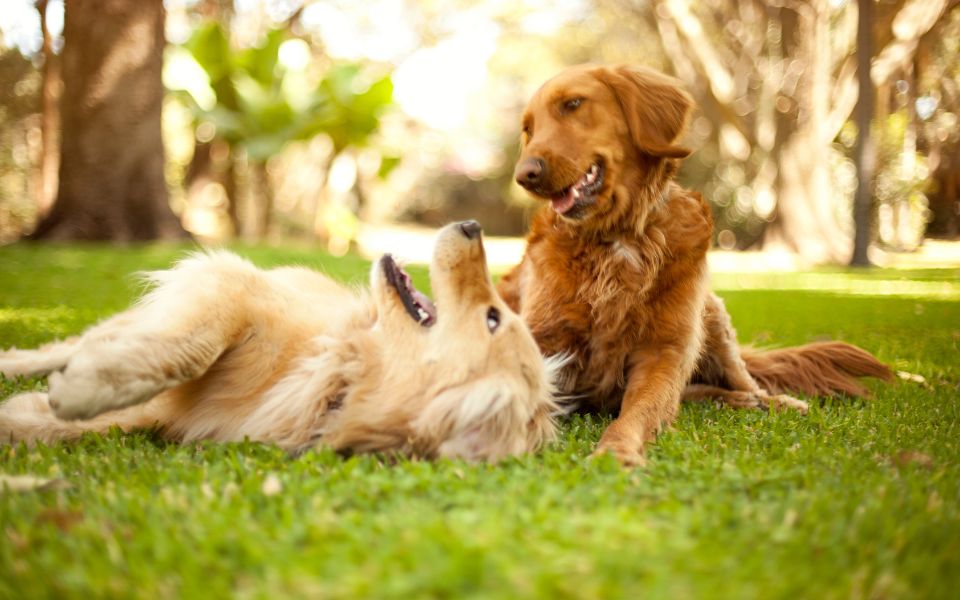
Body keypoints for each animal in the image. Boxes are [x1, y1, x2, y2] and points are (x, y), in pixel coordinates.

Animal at [0, 220, 560, 460]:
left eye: (493, 318)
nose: (472, 224)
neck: (340, 372)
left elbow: (65, 425)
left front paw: (39, 411)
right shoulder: (231, 286)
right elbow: (190, 348)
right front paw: (83, 389)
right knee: (69, 345)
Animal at [496, 67, 892, 468]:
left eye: (573, 104)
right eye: (528, 129)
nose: (525, 174)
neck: (618, 238)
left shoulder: (664, 351)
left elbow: (638, 412)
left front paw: (616, 451)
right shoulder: (542, 339)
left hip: (711, 316)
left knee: (739, 379)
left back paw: (770, 400)